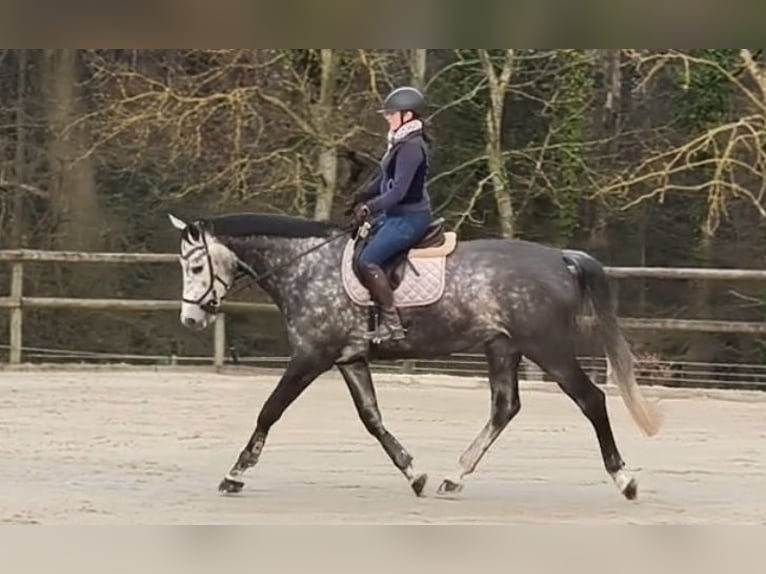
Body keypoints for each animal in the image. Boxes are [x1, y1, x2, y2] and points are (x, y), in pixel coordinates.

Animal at [168, 211, 662, 500]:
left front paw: (235, 474)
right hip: (502, 346)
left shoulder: (312, 355)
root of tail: (561, 258)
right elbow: (372, 418)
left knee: (590, 399)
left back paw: (625, 480)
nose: (190, 319)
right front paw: (414, 473)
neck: (306, 266)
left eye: (196, 266)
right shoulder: (349, 359)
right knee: (504, 408)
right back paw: (454, 476)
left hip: (549, 348)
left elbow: (270, 410)